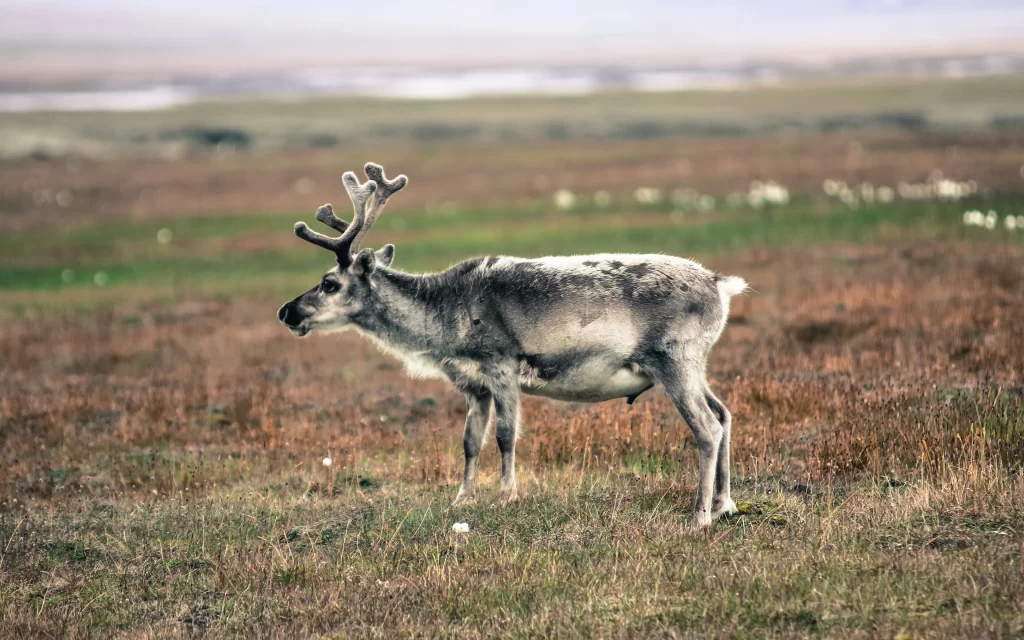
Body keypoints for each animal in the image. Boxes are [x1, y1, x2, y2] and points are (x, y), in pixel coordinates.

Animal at [277, 163, 747, 527]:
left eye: (329, 283)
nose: (287, 312)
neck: (443, 316)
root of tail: (721, 285)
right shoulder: (474, 385)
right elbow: (470, 441)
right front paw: (461, 499)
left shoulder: (501, 365)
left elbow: (505, 435)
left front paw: (507, 495)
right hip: (692, 366)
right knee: (724, 414)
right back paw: (725, 503)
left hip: (675, 360)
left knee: (706, 427)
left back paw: (700, 515)